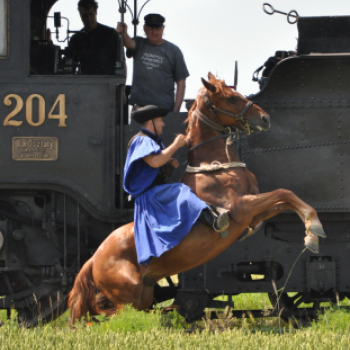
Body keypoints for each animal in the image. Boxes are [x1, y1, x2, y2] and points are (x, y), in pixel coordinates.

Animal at [68, 72, 326, 322]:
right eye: (230, 98)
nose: (265, 118)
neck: (216, 165)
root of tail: (94, 258)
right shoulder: (242, 208)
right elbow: (284, 193)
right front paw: (315, 229)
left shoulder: (253, 213)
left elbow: (285, 199)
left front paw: (311, 234)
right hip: (130, 294)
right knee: (112, 314)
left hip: (143, 292)